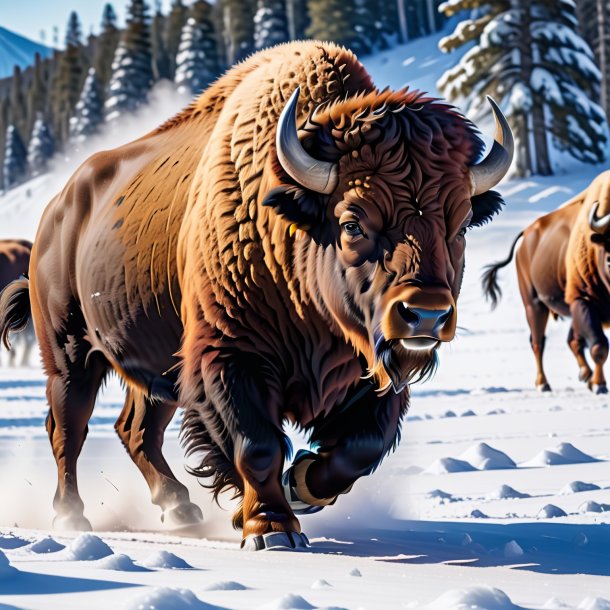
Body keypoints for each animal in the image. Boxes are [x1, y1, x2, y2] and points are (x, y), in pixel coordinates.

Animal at [0, 41, 512, 548]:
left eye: (460, 225)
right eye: (352, 222)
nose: (424, 315)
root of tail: (58, 209)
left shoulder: (372, 372)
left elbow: (363, 447)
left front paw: (301, 486)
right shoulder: (229, 357)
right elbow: (256, 445)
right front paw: (272, 528)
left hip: (158, 367)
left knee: (137, 429)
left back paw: (179, 508)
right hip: (70, 354)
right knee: (69, 426)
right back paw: (71, 517)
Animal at [480, 169, 608, 392]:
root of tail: (527, 234)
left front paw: (594, 381)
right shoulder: (584, 301)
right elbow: (599, 345)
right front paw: (599, 385)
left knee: (571, 341)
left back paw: (584, 375)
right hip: (534, 303)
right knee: (538, 341)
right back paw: (543, 384)